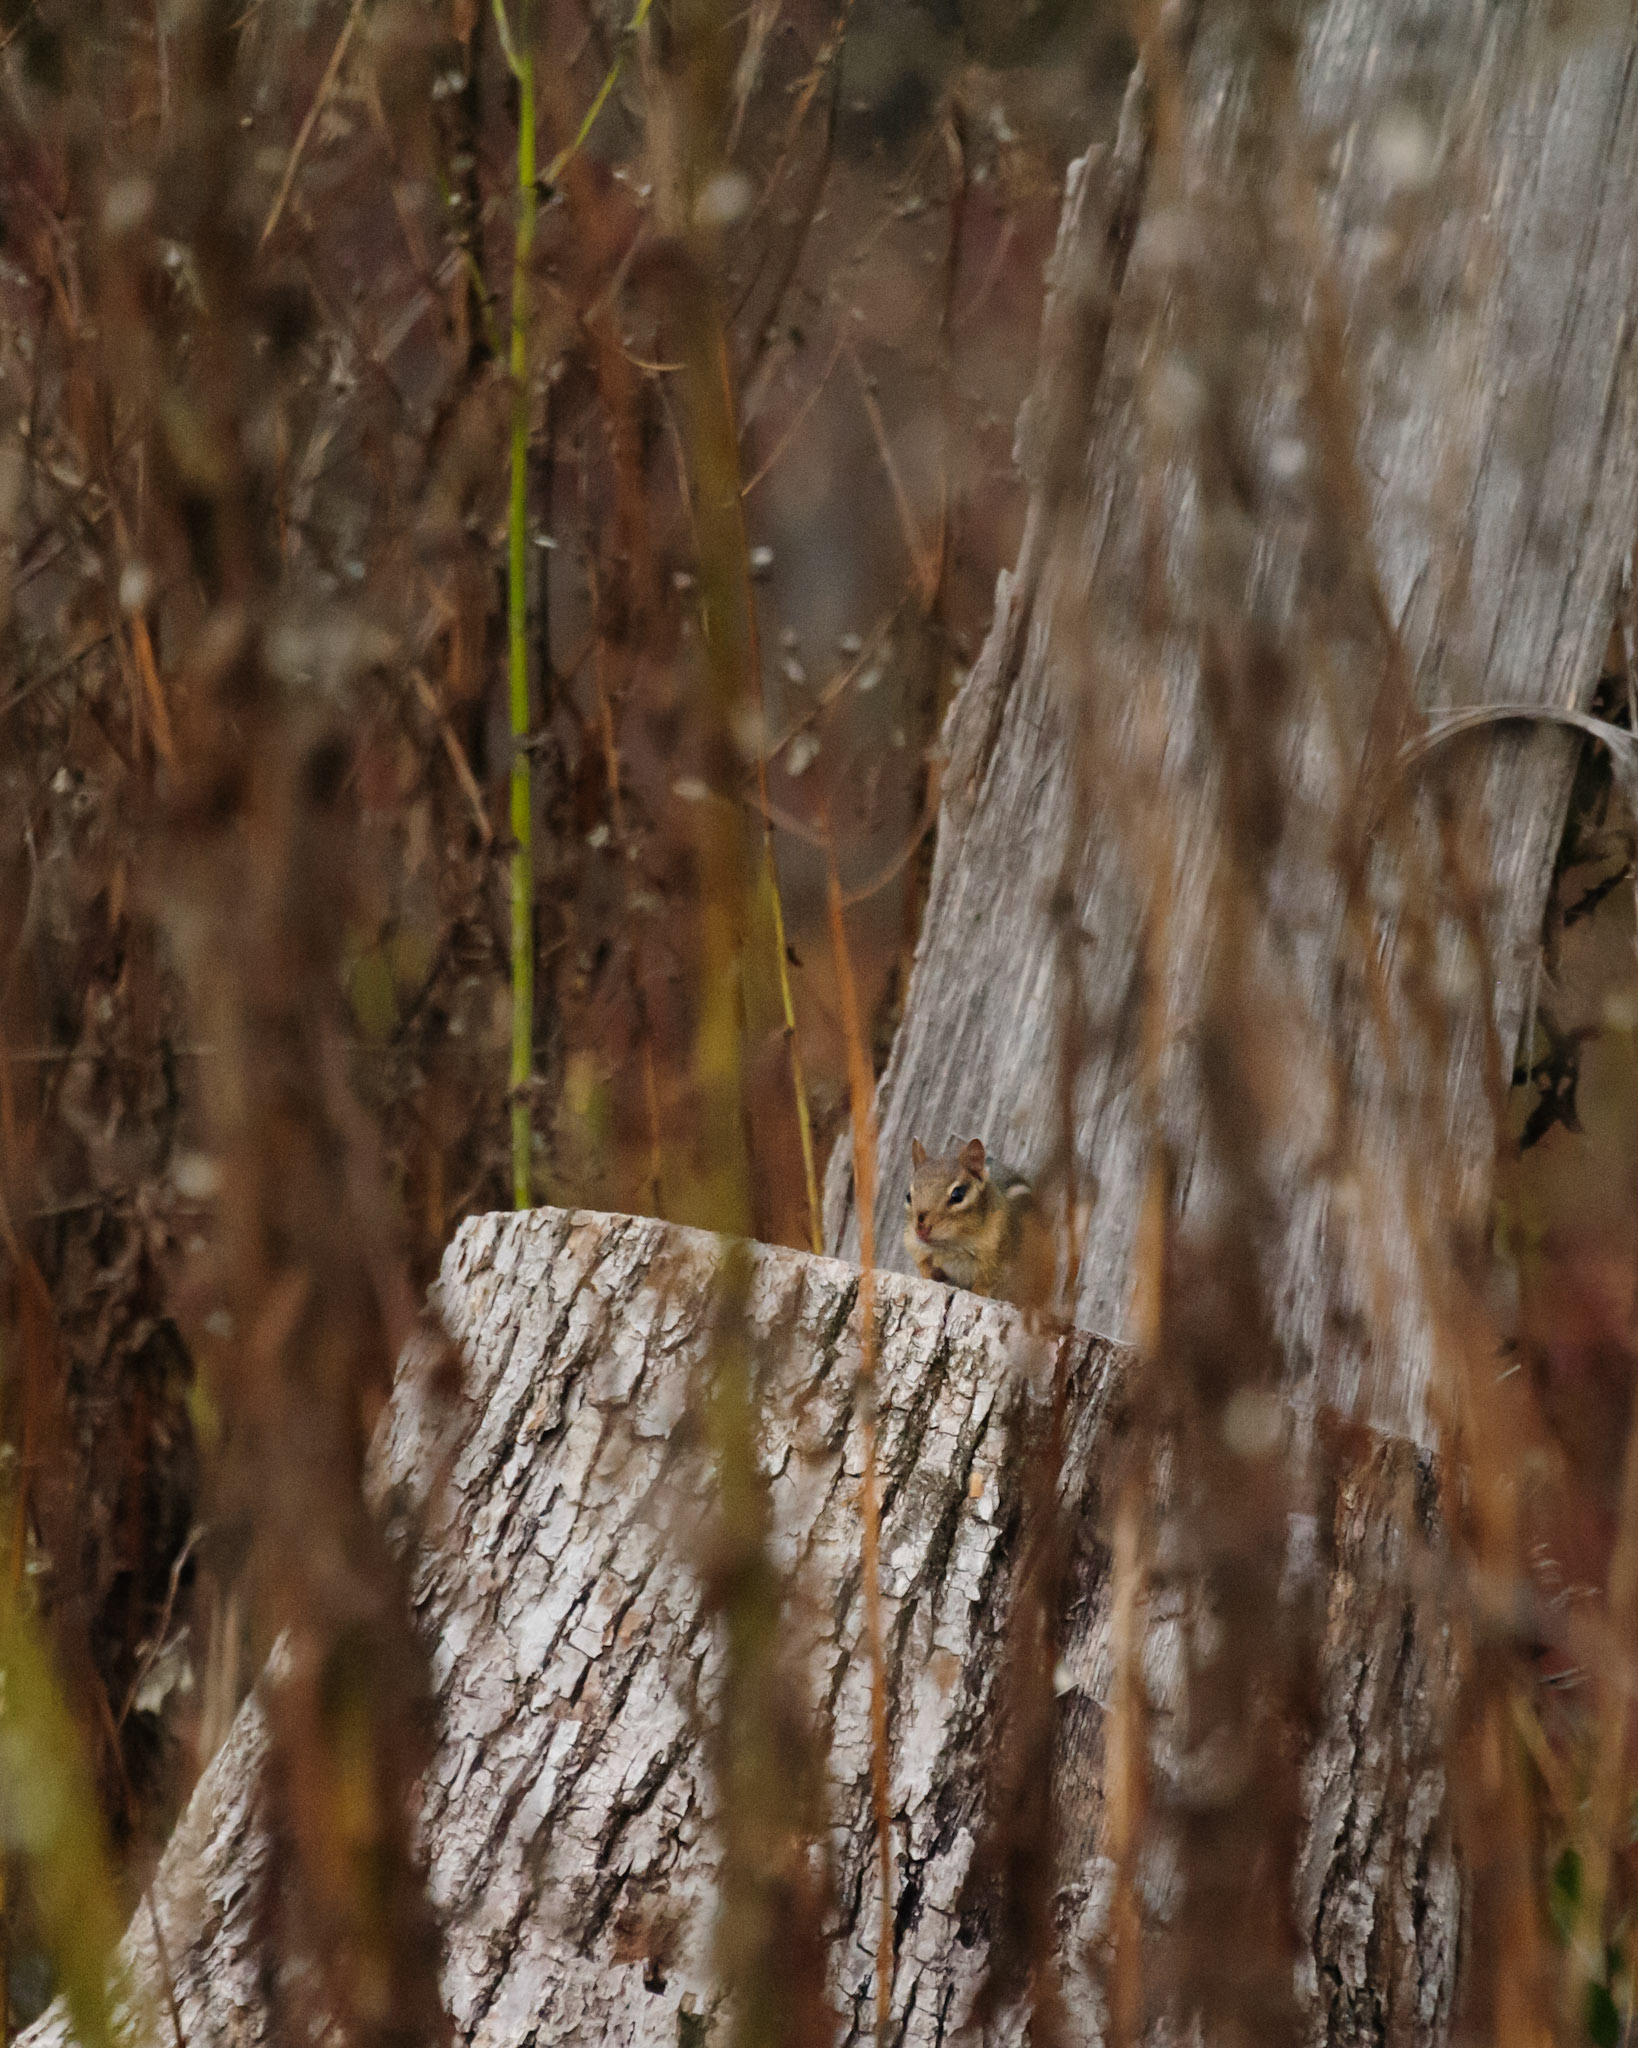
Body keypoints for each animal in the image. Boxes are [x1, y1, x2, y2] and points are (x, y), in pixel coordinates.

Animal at [902, 1136, 1053, 1306]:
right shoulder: (916, 1247)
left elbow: (985, 1283)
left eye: (957, 1195)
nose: (921, 1230)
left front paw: (979, 1292)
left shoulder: (998, 1257)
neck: (951, 1245)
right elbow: (924, 1267)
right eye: (908, 1196)